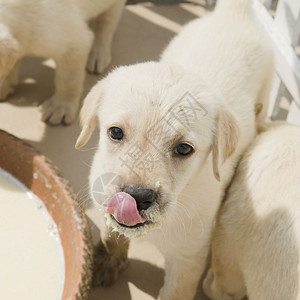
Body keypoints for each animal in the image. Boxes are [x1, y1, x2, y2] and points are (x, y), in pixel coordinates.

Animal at [77, 1, 274, 298]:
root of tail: (233, 15)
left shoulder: (187, 259)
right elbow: (113, 234)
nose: (137, 197)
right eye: (115, 133)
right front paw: (109, 260)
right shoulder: (102, 202)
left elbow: (175, 290)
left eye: (183, 149)